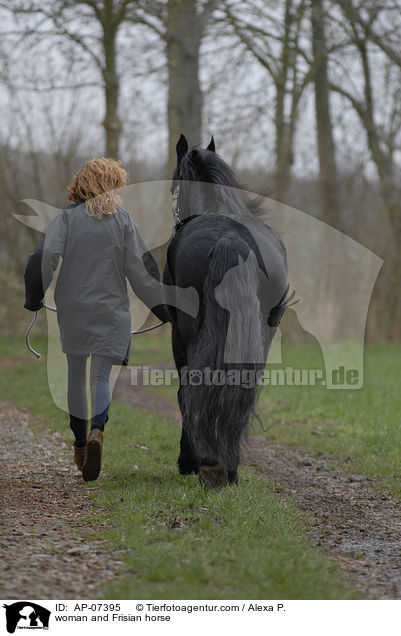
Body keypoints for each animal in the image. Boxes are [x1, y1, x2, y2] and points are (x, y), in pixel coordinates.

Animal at [162, 134, 288, 490]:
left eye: (175, 179)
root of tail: (231, 239)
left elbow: (184, 390)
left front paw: (188, 461)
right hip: (260, 332)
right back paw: (228, 466)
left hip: (187, 331)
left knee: (190, 386)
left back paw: (203, 461)